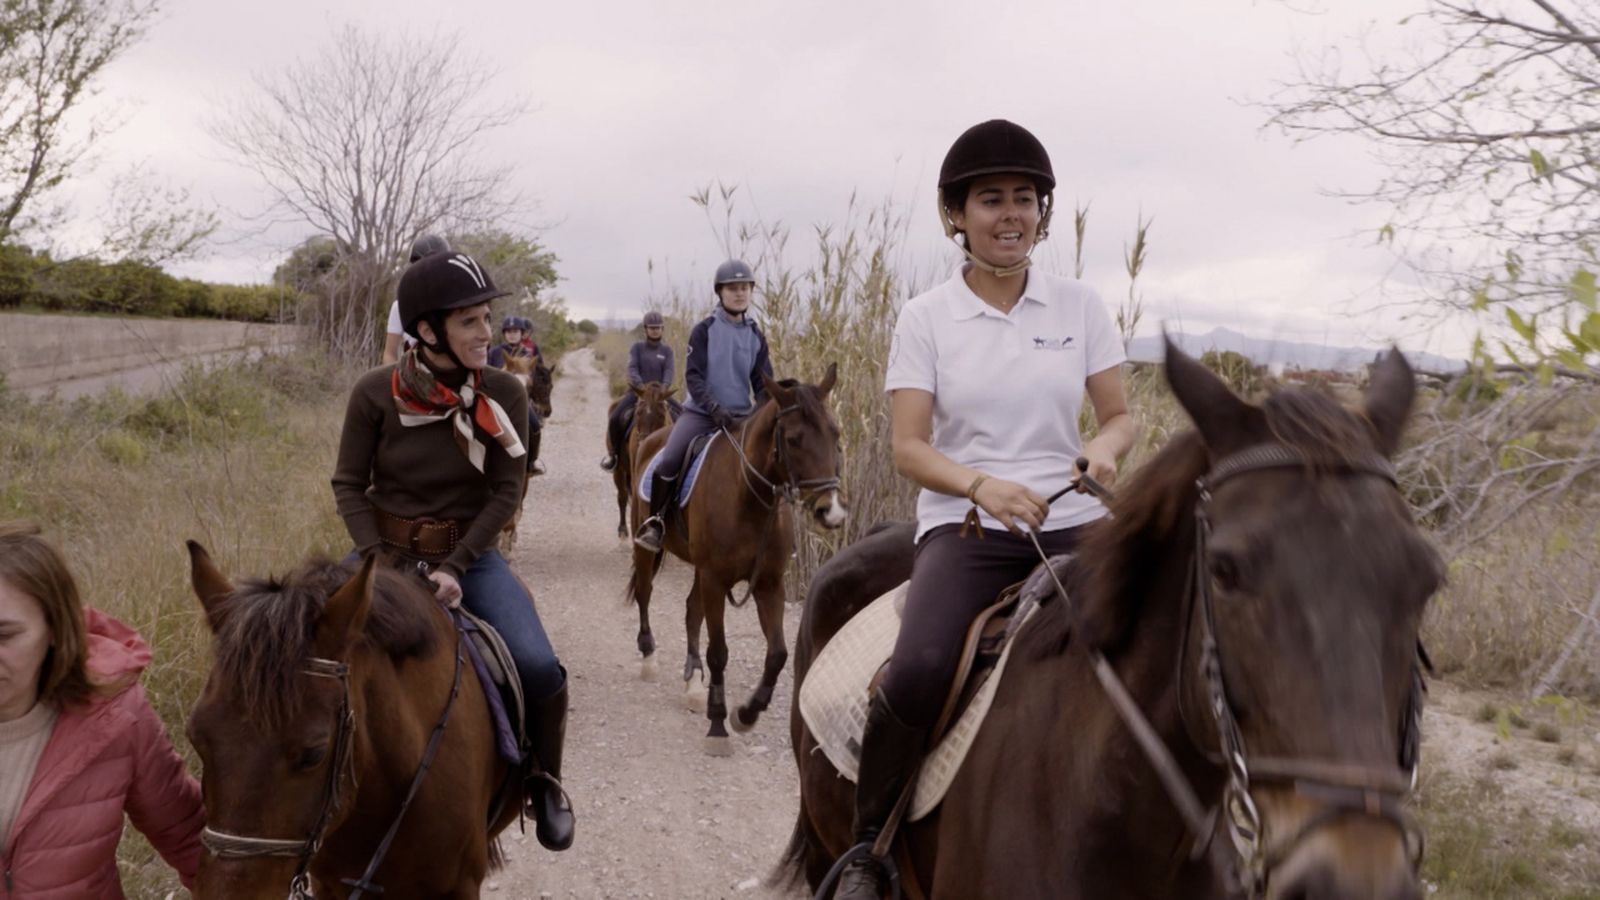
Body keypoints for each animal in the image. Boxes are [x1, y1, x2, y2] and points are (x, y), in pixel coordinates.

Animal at [609, 381, 679, 540]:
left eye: (661, 415)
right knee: (622, 496)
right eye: (638, 413)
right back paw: (623, 529)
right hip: (619, 469)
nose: (646, 443)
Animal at [626, 364, 848, 755]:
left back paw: (694, 683)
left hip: (700, 570)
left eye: (835, 432)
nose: (831, 511)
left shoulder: (768, 584)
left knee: (691, 611)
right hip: (648, 549)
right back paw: (650, 658)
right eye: (794, 439)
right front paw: (717, 724)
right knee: (645, 593)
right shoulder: (716, 580)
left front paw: (746, 713)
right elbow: (719, 652)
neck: (750, 495)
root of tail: (653, 439)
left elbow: (777, 654)